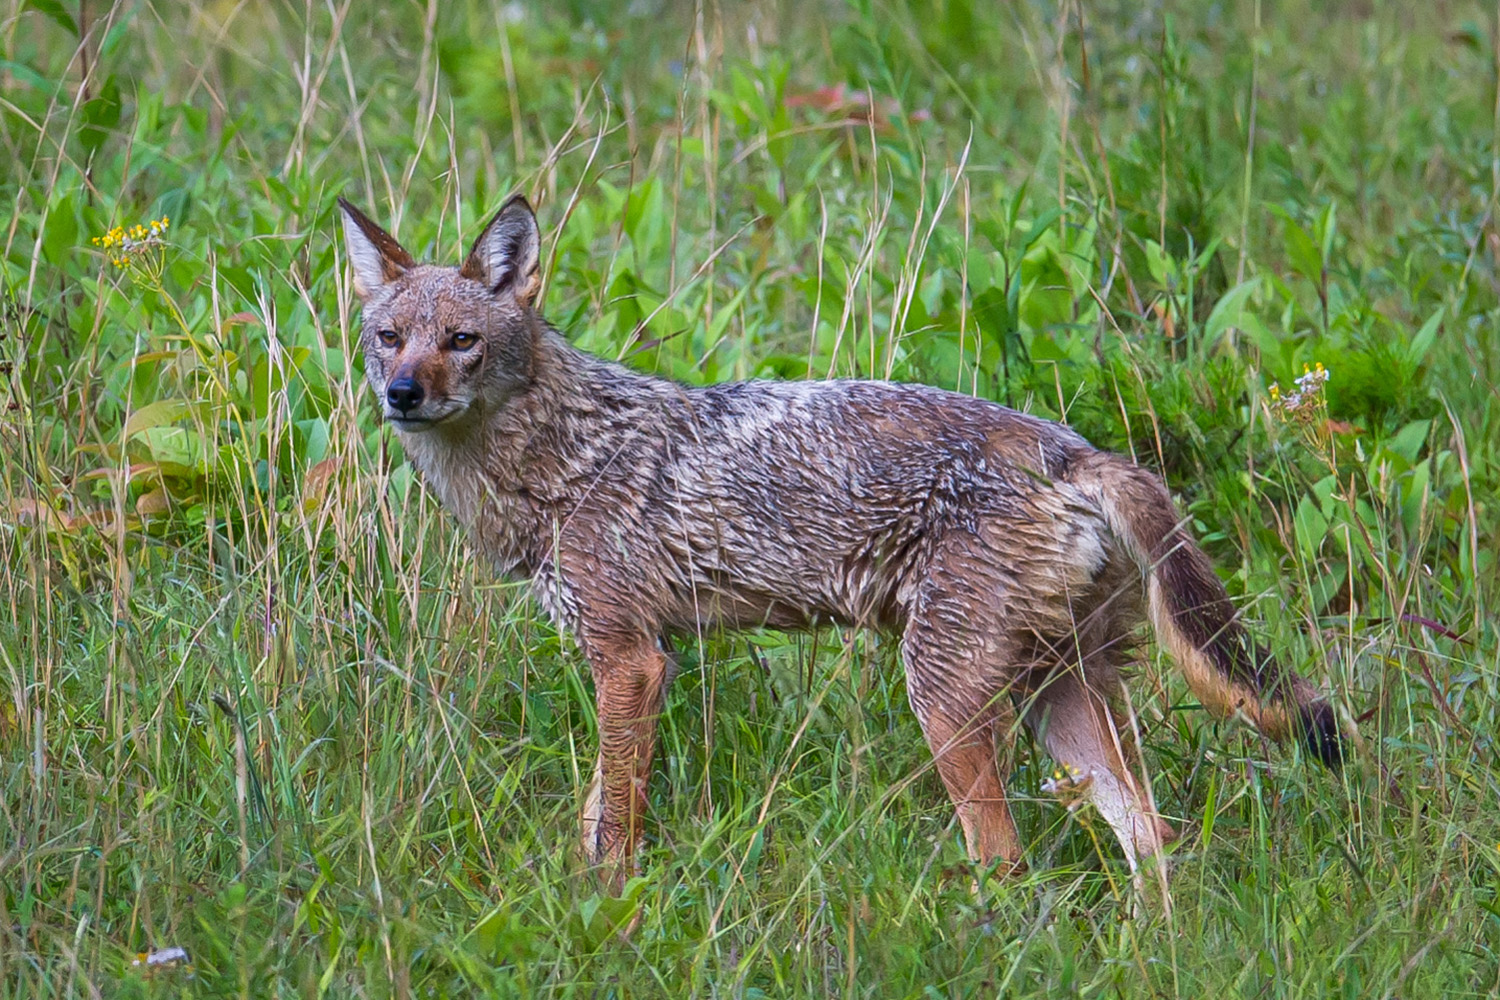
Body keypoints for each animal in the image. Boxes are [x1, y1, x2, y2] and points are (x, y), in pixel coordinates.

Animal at [337, 193, 1344, 894]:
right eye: (389, 337)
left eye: (461, 341)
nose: (401, 394)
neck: (562, 460)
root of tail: (1074, 451)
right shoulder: (642, 654)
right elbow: (592, 816)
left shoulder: (629, 660)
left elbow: (614, 821)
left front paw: (611, 914)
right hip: (1059, 699)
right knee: (1154, 840)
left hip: (946, 701)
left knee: (1010, 860)